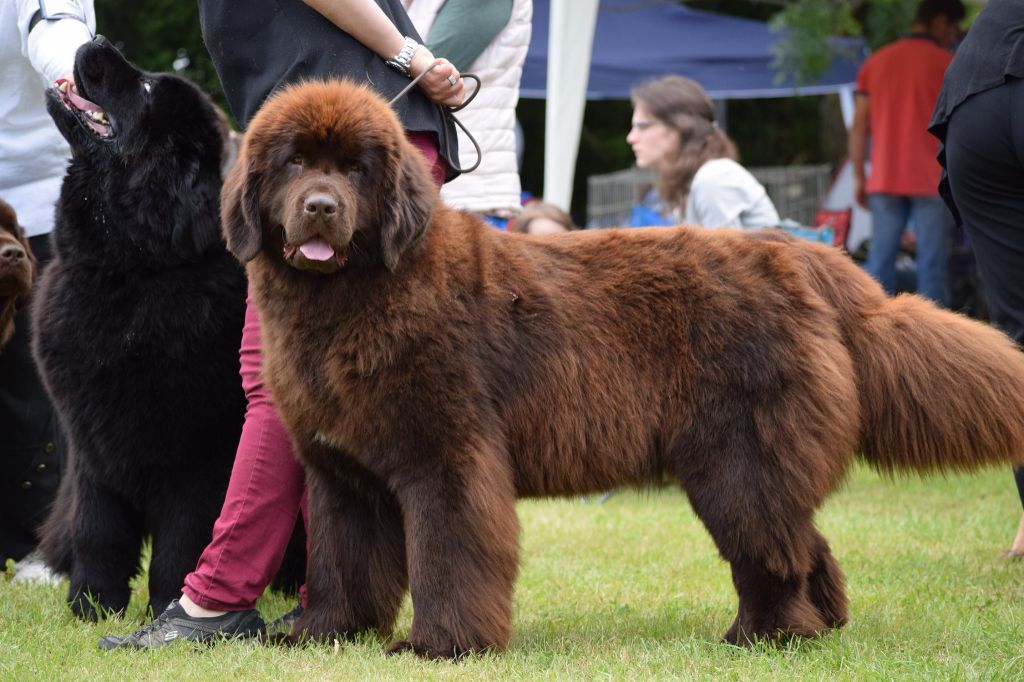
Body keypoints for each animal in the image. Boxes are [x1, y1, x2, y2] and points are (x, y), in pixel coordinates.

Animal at [34, 37, 247, 618]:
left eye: (147, 88)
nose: (98, 40)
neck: (126, 276)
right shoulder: (91, 448)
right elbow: (97, 531)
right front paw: (91, 605)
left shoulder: (199, 458)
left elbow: (183, 541)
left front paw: (170, 605)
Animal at [222, 80, 1024, 659]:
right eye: (295, 162)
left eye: (357, 169)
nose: (320, 207)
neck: (353, 299)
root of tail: (806, 257)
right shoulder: (340, 470)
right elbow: (343, 558)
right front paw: (327, 632)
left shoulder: (447, 457)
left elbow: (450, 555)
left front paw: (439, 647)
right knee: (804, 542)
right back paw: (817, 626)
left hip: (736, 460)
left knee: (772, 549)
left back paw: (761, 636)